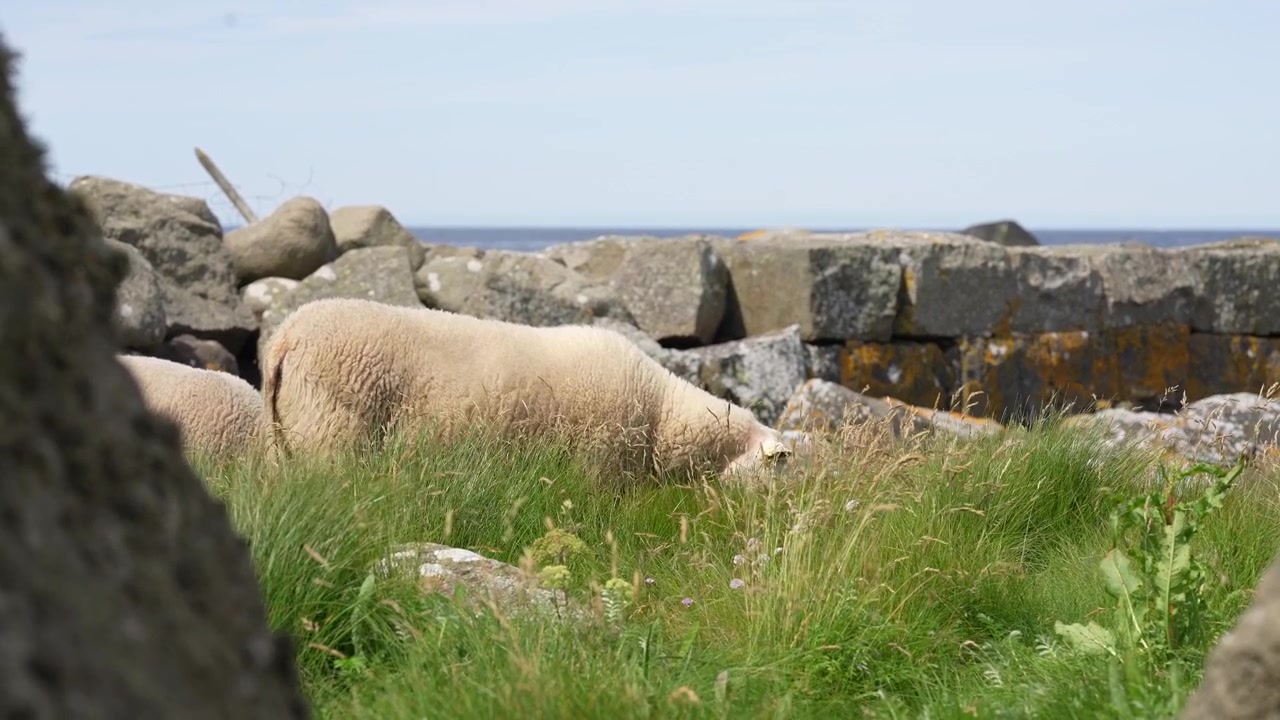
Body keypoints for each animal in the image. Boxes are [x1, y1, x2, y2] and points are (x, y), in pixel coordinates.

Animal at [260, 297, 794, 482]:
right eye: (781, 470)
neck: (661, 412)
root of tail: (286, 334)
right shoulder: (597, 460)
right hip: (331, 427)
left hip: (287, 437)